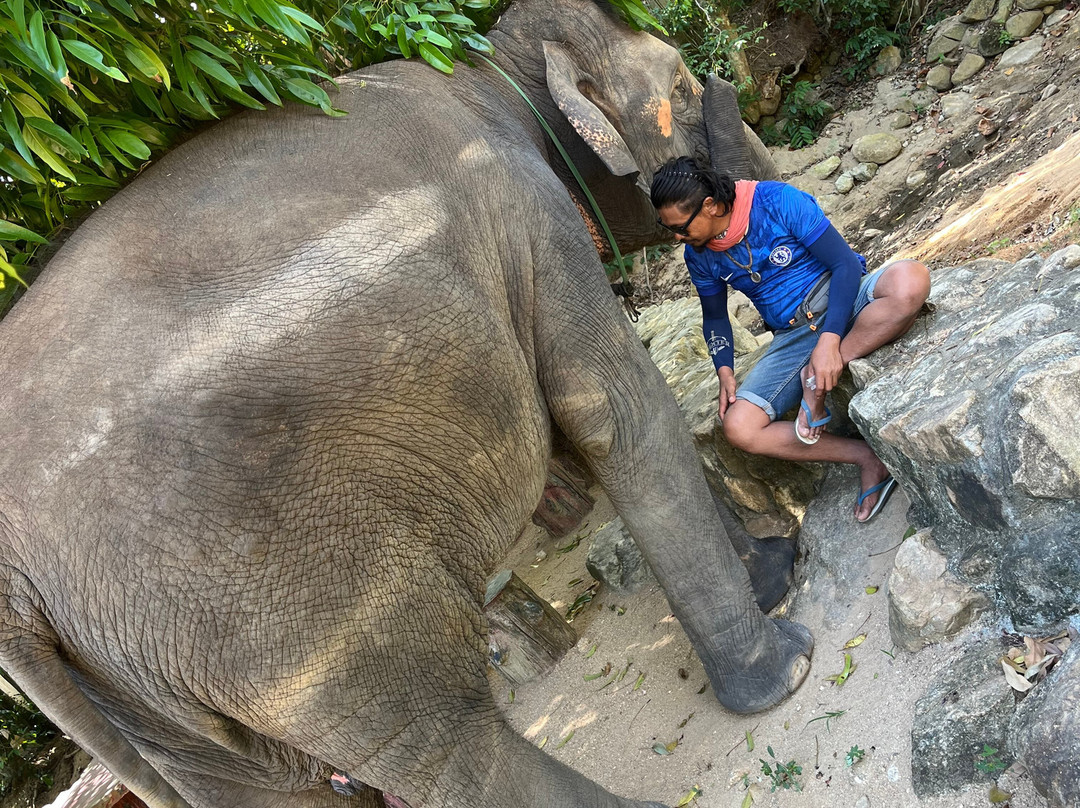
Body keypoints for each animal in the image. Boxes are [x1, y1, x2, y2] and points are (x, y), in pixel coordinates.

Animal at [0, 0, 812, 806]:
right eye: (679, 82)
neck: (485, 68)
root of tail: (16, 596)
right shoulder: (525, 212)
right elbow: (614, 412)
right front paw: (785, 660)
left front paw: (775, 574)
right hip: (271, 612)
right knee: (448, 744)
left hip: (143, 671)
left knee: (258, 782)